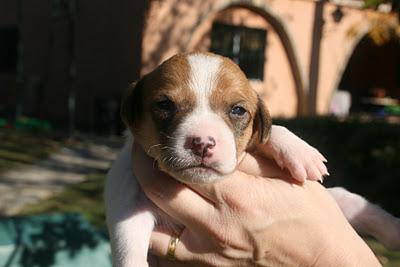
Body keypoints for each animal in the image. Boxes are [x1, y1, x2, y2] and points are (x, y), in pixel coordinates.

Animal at [107, 52, 400, 267]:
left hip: (338, 201)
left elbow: (269, 132)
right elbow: (128, 249)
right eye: (165, 105)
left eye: (238, 110)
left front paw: (299, 150)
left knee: (358, 204)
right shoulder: (129, 205)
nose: (202, 142)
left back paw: (394, 230)